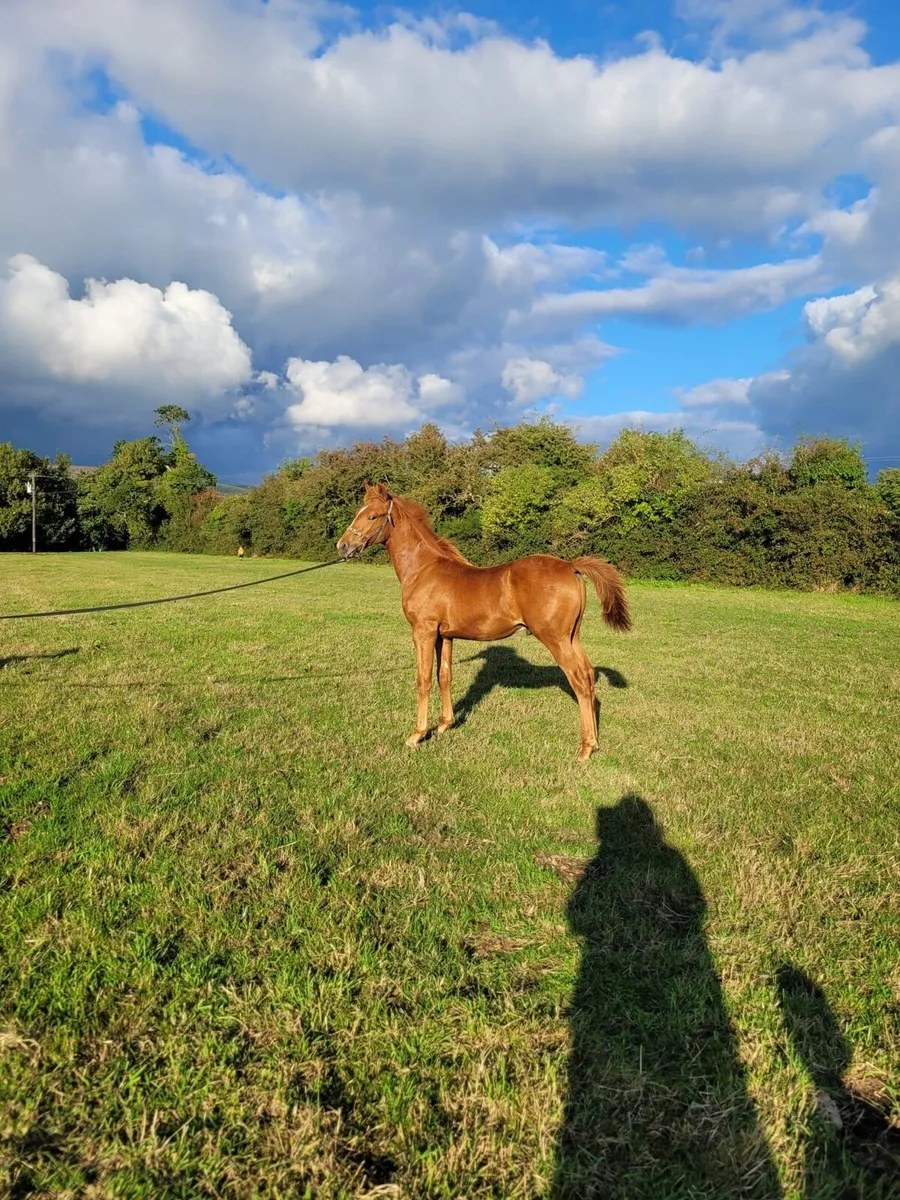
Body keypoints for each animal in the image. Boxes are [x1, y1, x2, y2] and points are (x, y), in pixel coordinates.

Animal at [337, 482, 631, 761]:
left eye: (372, 516)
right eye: (358, 511)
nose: (343, 546)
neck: (424, 569)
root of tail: (571, 565)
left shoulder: (423, 632)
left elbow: (424, 679)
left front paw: (417, 735)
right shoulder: (445, 636)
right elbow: (444, 675)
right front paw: (444, 725)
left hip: (556, 640)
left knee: (579, 680)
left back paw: (585, 748)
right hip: (572, 637)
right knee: (589, 676)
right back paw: (594, 741)